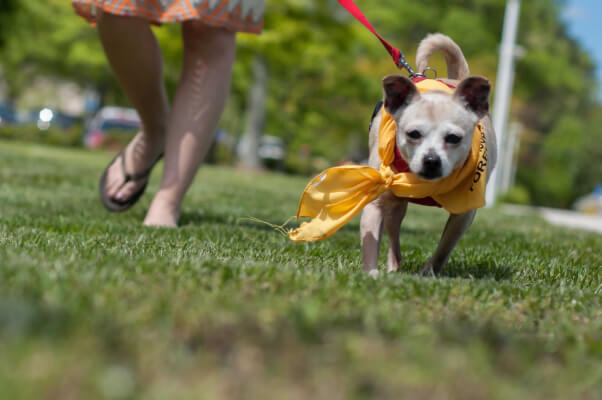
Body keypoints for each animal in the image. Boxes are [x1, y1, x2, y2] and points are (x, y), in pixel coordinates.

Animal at [358, 33, 494, 276]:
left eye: (453, 138)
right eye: (413, 134)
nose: (431, 160)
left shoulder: (464, 214)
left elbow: (444, 248)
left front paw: (428, 273)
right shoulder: (377, 203)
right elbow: (371, 241)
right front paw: (371, 274)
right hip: (396, 207)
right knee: (394, 241)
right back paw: (393, 268)